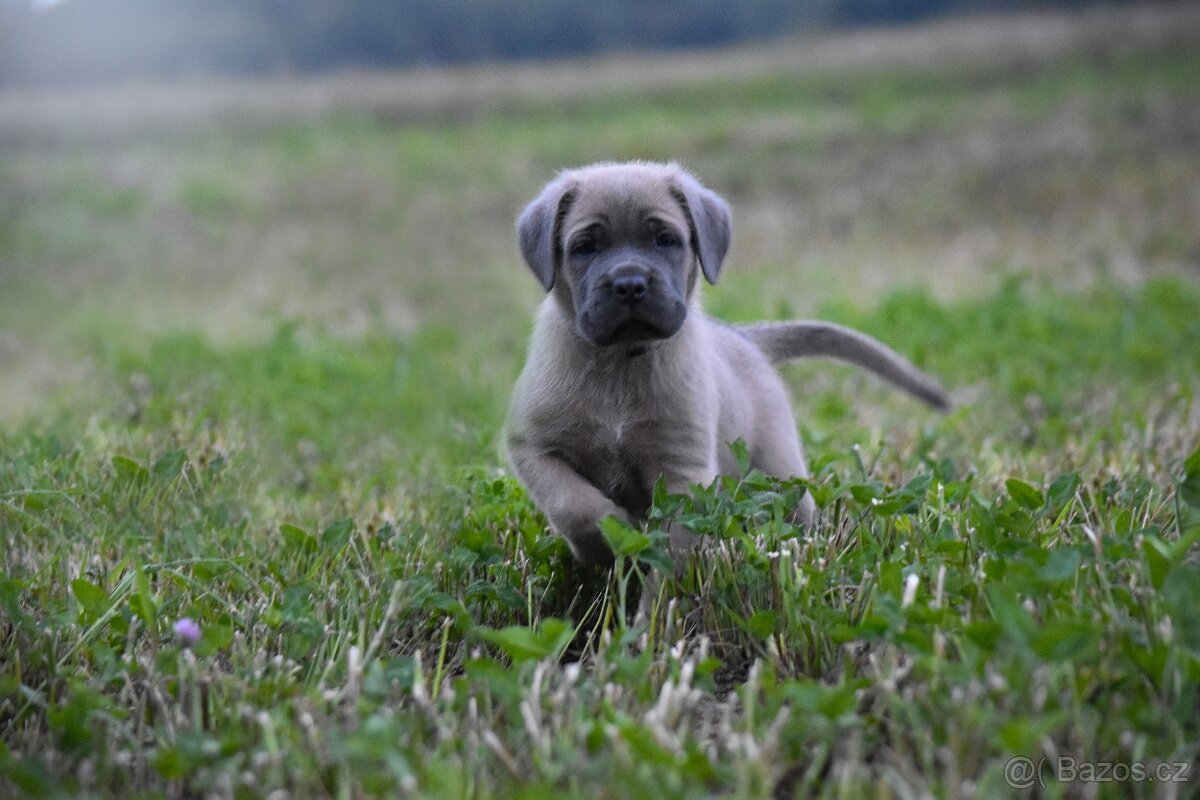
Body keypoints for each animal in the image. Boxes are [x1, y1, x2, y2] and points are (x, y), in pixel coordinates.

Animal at [506, 160, 945, 568]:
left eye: (665, 240)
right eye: (585, 247)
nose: (629, 284)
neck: (621, 363)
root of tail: (745, 337)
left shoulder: (684, 472)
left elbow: (670, 562)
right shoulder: (532, 449)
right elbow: (574, 505)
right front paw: (605, 541)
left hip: (779, 467)